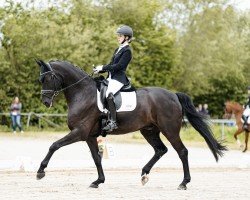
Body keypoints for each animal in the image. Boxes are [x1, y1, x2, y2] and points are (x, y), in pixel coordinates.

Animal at [35, 59, 227, 189]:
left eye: (49, 78)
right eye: (41, 80)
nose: (45, 102)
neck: (83, 93)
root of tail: (173, 95)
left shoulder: (80, 132)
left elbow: (54, 145)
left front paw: (41, 171)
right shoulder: (89, 136)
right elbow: (96, 158)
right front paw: (98, 181)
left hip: (170, 130)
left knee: (182, 151)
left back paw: (183, 183)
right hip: (149, 130)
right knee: (160, 150)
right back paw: (144, 174)